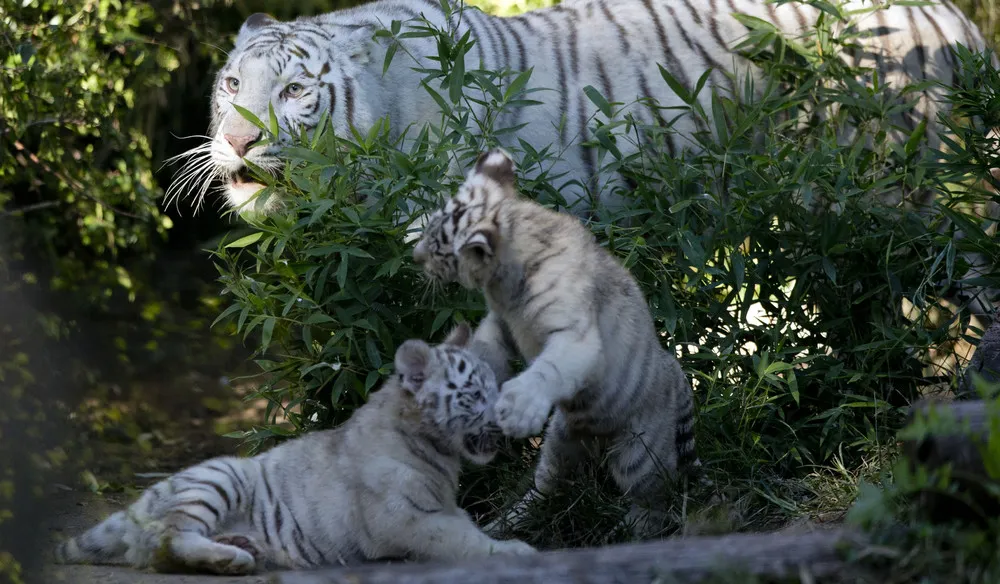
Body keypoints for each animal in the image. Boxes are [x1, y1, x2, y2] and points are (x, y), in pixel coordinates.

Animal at [52, 324, 535, 575]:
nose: (503, 418)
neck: (437, 451)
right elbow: (463, 539)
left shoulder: (439, 508)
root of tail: (144, 499)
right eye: (474, 395)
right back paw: (231, 558)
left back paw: (240, 548)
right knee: (165, 541)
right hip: (220, 476)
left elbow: (470, 528)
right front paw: (515, 551)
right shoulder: (406, 519)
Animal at [411, 148, 700, 537]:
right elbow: (485, 350)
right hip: (560, 441)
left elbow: (549, 368)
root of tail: (678, 374)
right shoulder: (500, 325)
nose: (414, 256)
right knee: (547, 487)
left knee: (655, 500)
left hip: (639, 452)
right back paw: (503, 524)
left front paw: (518, 409)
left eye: (438, 246)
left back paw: (628, 531)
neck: (502, 281)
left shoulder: (574, 335)